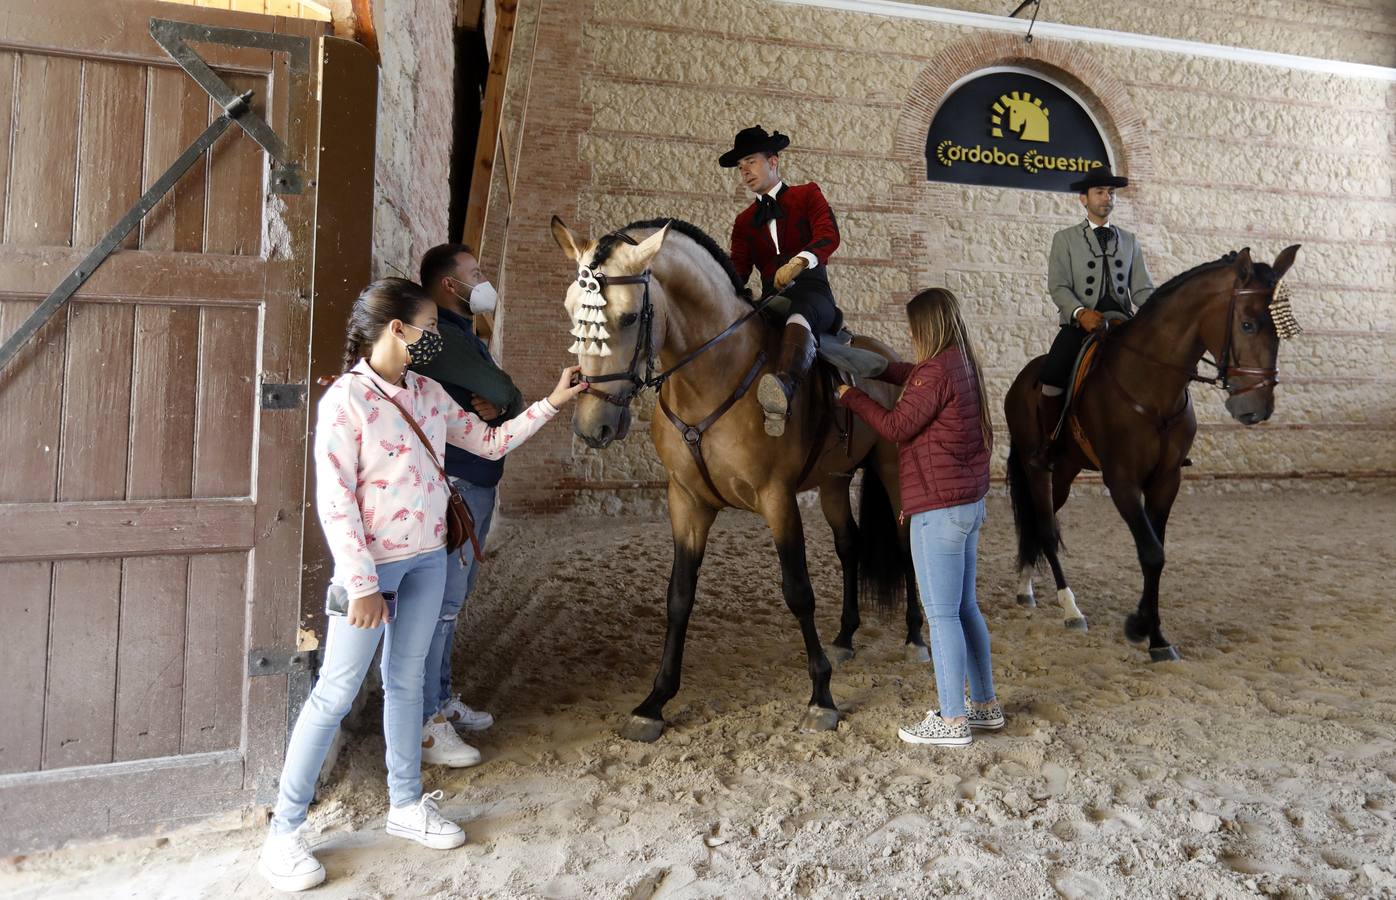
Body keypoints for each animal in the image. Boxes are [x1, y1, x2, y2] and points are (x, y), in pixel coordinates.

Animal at [547, 216, 926, 736]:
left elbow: (798, 592)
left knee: (909, 548)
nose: (592, 426)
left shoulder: (777, 499)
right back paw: (846, 636)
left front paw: (821, 696)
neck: (712, 377)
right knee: (849, 546)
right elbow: (679, 595)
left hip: (892, 472)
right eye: (571, 313)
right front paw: (655, 701)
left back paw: (915, 636)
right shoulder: (687, 502)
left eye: (628, 317)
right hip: (832, 481)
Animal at [1005, 242, 1295, 655]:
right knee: (1045, 528)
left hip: (1064, 470)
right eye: (1247, 325)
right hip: (1037, 467)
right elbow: (1151, 552)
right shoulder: (1122, 482)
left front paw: (1154, 635)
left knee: (1037, 523)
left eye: (1279, 330)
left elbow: (1156, 552)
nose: (1257, 408)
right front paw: (1140, 626)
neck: (1152, 385)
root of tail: (1022, 380)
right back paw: (1070, 608)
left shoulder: (1165, 481)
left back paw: (1026, 587)